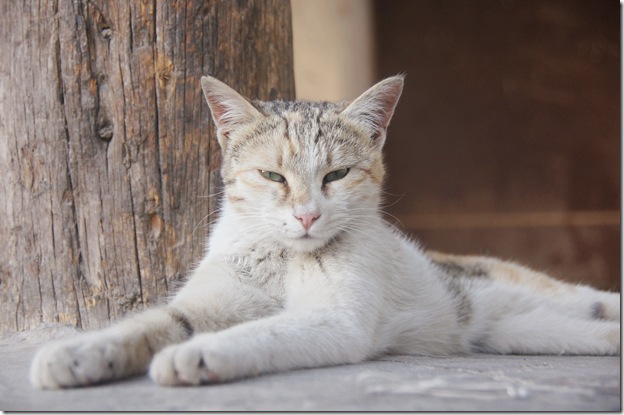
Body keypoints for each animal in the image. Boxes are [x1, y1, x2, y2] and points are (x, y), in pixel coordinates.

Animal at [29, 75, 620, 390]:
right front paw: (74, 356)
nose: (308, 216)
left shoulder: (337, 321)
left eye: (336, 175)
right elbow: (144, 324)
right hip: (524, 332)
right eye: (273, 176)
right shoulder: (197, 307)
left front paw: (195, 356)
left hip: (549, 298)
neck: (282, 258)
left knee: (595, 300)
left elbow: (262, 332)